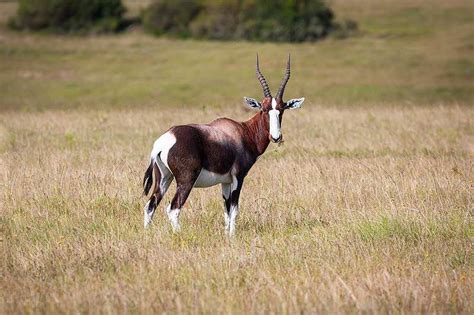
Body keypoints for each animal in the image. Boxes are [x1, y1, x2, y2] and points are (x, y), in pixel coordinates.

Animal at [143, 55, 304, 236]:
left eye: (281, 110)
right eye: (263, 109)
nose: (276, 137)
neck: (242, 131)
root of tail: (165, 140)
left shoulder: (225, 182)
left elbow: (226, 210)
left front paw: (227, 234)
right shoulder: (238, 178)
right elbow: (234, 209)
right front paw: (232, 236)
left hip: (164, 178)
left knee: (150, 205)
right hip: (185, 181)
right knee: (173, 208)